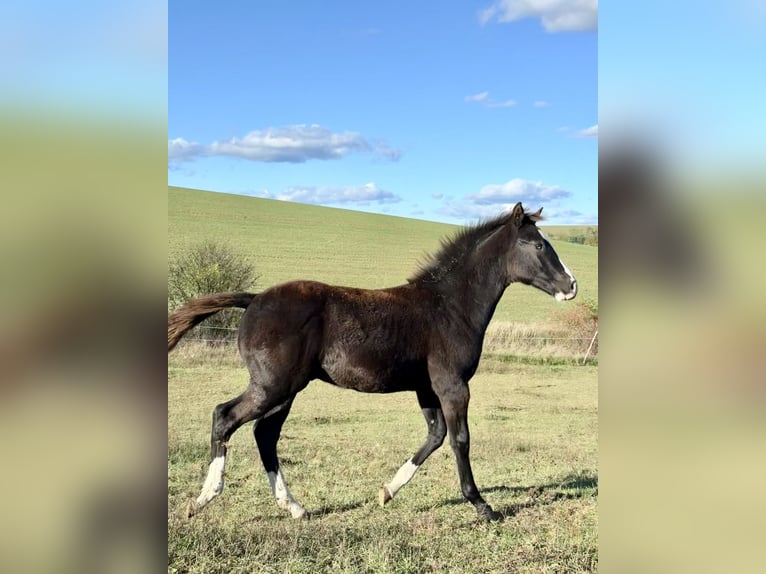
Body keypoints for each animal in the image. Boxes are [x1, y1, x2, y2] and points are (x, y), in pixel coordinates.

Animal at [168, 202, 577, 522]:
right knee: (225, 417)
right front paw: (482, 506)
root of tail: (253, 299)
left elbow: (435, 436)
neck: (448, 307)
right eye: (537, 244)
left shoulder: (426, 387)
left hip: (284, 391)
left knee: (264, 434)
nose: (571, 286)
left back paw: (295, 507)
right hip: (273, 385)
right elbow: (459, 439)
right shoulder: (452, 385)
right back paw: (203, 499)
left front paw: (386, 492)